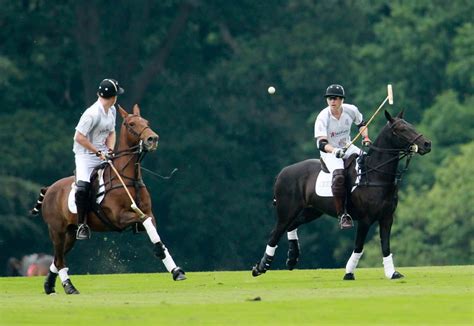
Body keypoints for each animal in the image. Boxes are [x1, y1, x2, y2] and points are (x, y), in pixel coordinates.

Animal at [31, 105, 185, 296]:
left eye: (146, 122)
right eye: (131, 124)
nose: (152, 139)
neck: (129, 178)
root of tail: (49, 189)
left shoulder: (148, 213)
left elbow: (151, 227)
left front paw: (175, 270)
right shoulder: (118, 218)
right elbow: (144, 221)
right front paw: (161, 253)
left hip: (71, 232)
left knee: (57, 258)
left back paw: (49, 286)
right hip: (56, 229)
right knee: (59, 260)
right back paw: (69, 287)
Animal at [254, 111, 432, 278]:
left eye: (410, 124)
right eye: (400, 129)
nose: (427, 144)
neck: (375, 175)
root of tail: (282, 172)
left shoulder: (387, 217)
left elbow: (386, 246)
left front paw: (392, 273)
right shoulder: (365, 219)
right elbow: (359, 246)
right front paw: (349, 273)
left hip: (313, 211)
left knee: (292, 226)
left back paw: (292, 258)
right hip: (287, 210)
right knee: (275, 233)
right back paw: (261, 267)